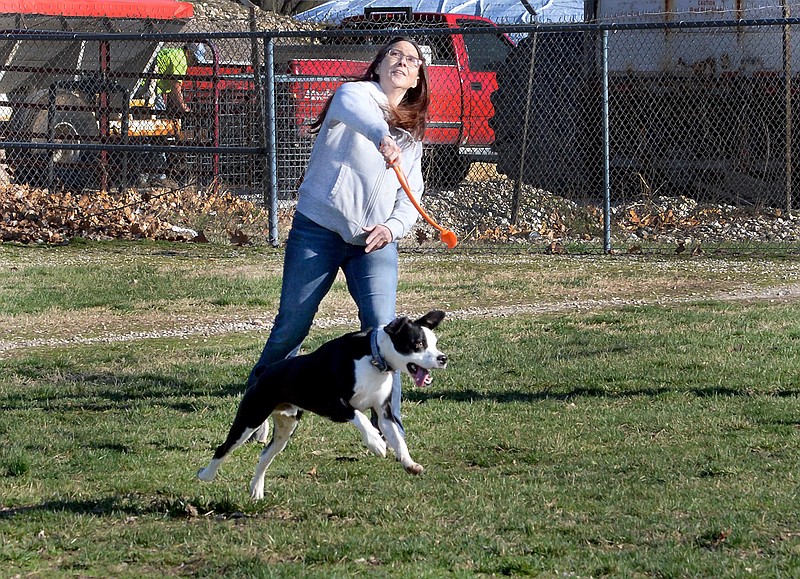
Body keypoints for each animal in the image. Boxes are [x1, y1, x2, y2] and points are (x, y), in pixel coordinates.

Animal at [197, 310, 446, 500]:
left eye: (435, 344)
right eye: (418, 344)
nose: (442, 358)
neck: (374, 358)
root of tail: (265, 371)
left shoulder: (384, 413)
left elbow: (397, 439)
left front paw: (409, 463)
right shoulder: (332, 403)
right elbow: (359, 417)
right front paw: (376, 443)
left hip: (285, 429)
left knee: (265, 456)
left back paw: (256, 490)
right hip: (251, 418)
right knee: (223, 448)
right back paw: (205, 475)